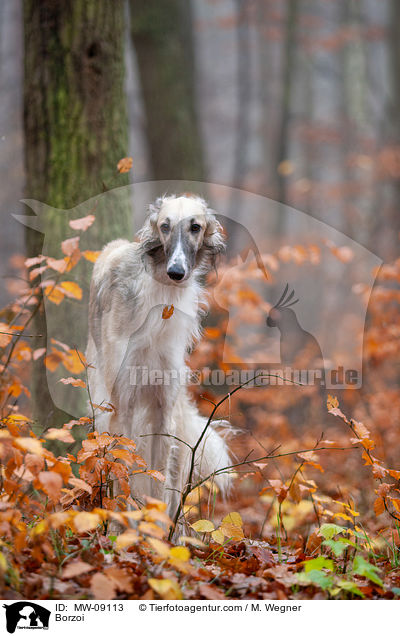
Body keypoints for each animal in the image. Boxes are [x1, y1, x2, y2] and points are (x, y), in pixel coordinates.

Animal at [86, 195, 231, 520]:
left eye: (195, 226)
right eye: (165, 226)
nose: (176, 272)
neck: (162, 302)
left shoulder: (164, 409)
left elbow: (159, 483)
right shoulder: (122, 406)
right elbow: (124, 478)